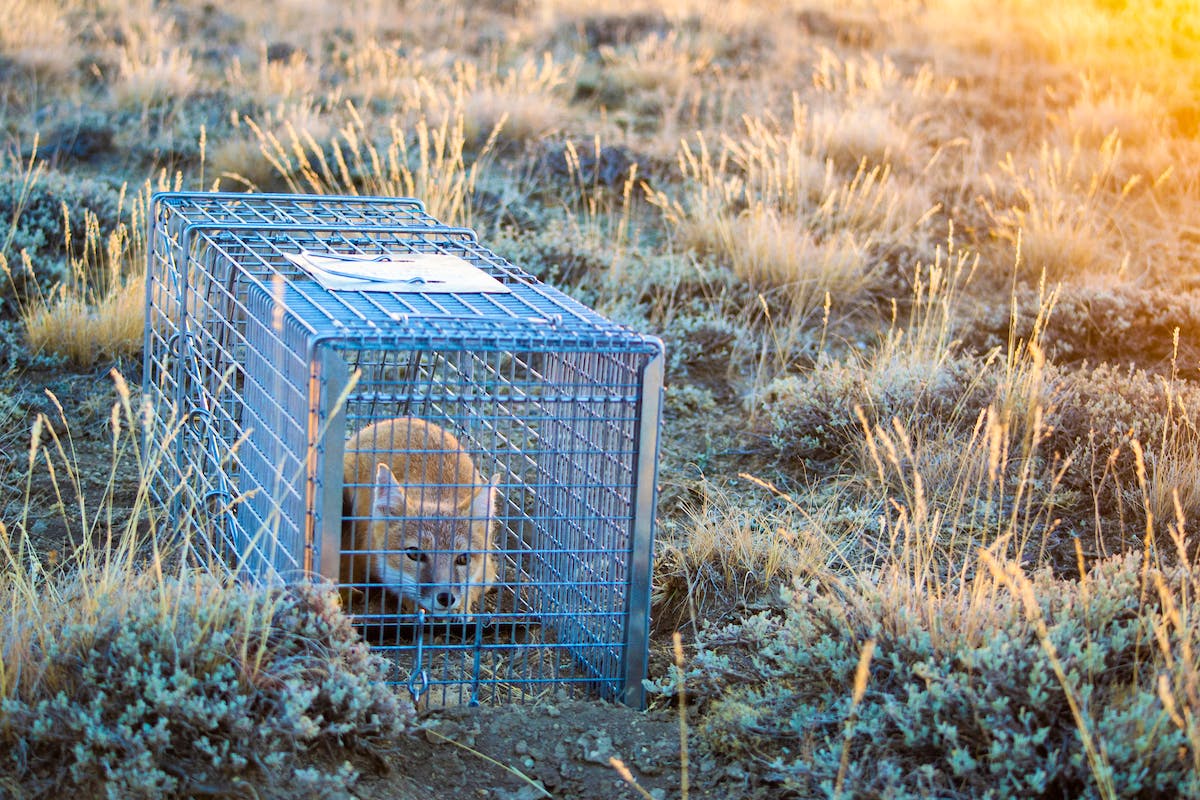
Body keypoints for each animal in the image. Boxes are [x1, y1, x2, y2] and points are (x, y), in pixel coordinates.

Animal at [341, 417, 498, 616]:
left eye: (463, 559)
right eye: (414, 554)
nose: (446, 598)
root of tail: (405, 418)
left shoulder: (488, 573)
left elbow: (472, 589)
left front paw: (462, 608)